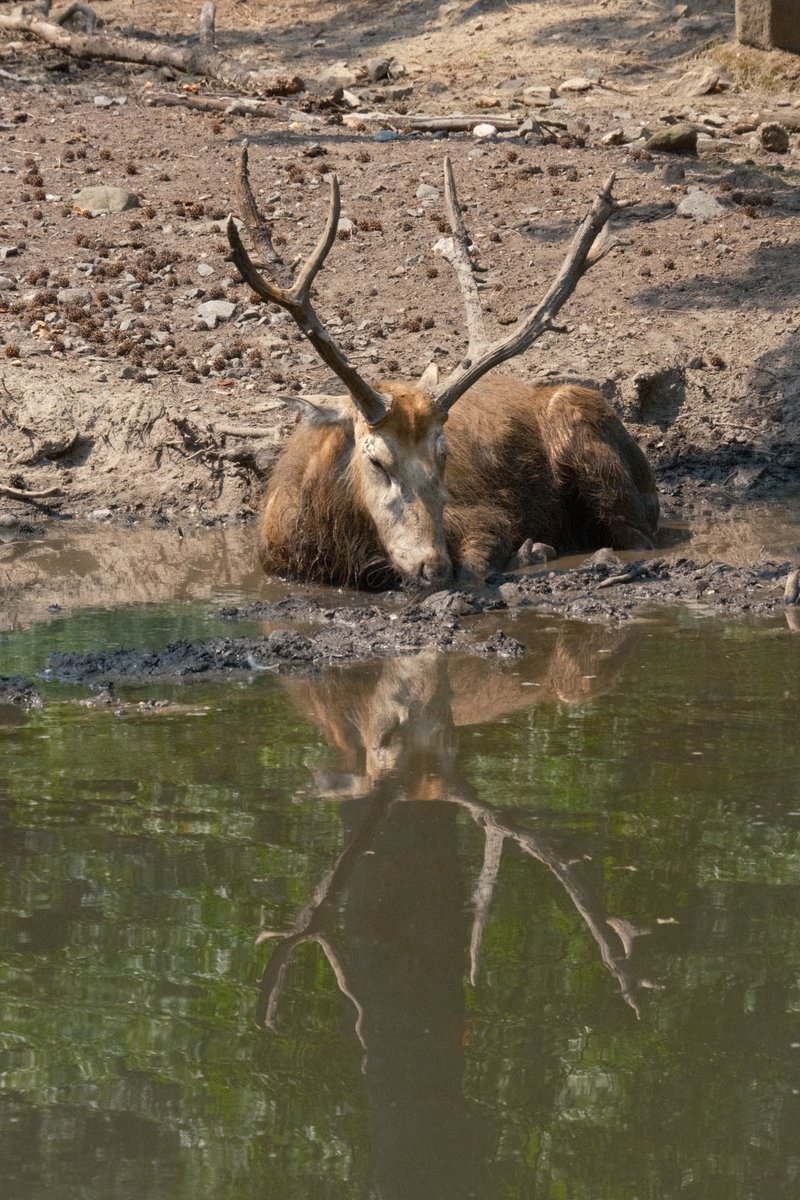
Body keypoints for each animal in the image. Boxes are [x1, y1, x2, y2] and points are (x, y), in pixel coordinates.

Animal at [226, 145, 659, 591]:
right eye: (376, 460)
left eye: (443, 452)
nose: (431, 566)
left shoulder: (482, 517)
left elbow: (479, 561)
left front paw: (526, 551)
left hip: (585, 428)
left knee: (638, 536)